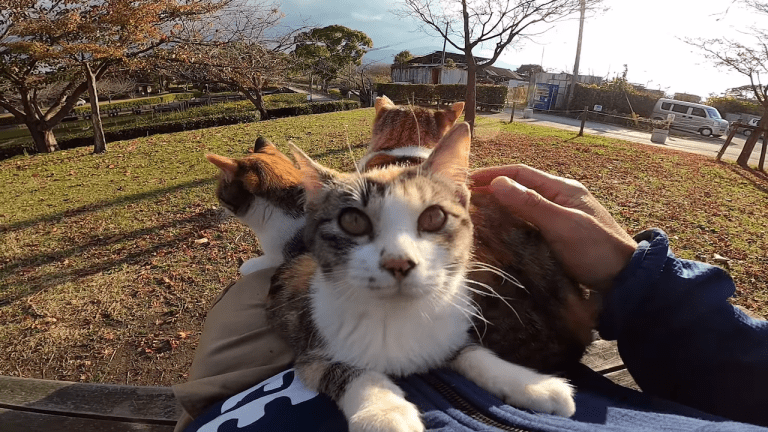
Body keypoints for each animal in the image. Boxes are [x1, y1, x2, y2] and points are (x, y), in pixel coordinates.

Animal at [270, 122, 576, 432]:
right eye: (352, 221)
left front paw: (533, 384)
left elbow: (471, 352)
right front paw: (384, 412)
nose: (398, 262)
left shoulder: (447, 329)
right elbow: (344, 370)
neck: (397, 315)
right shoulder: (311, 346)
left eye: (433, 217)